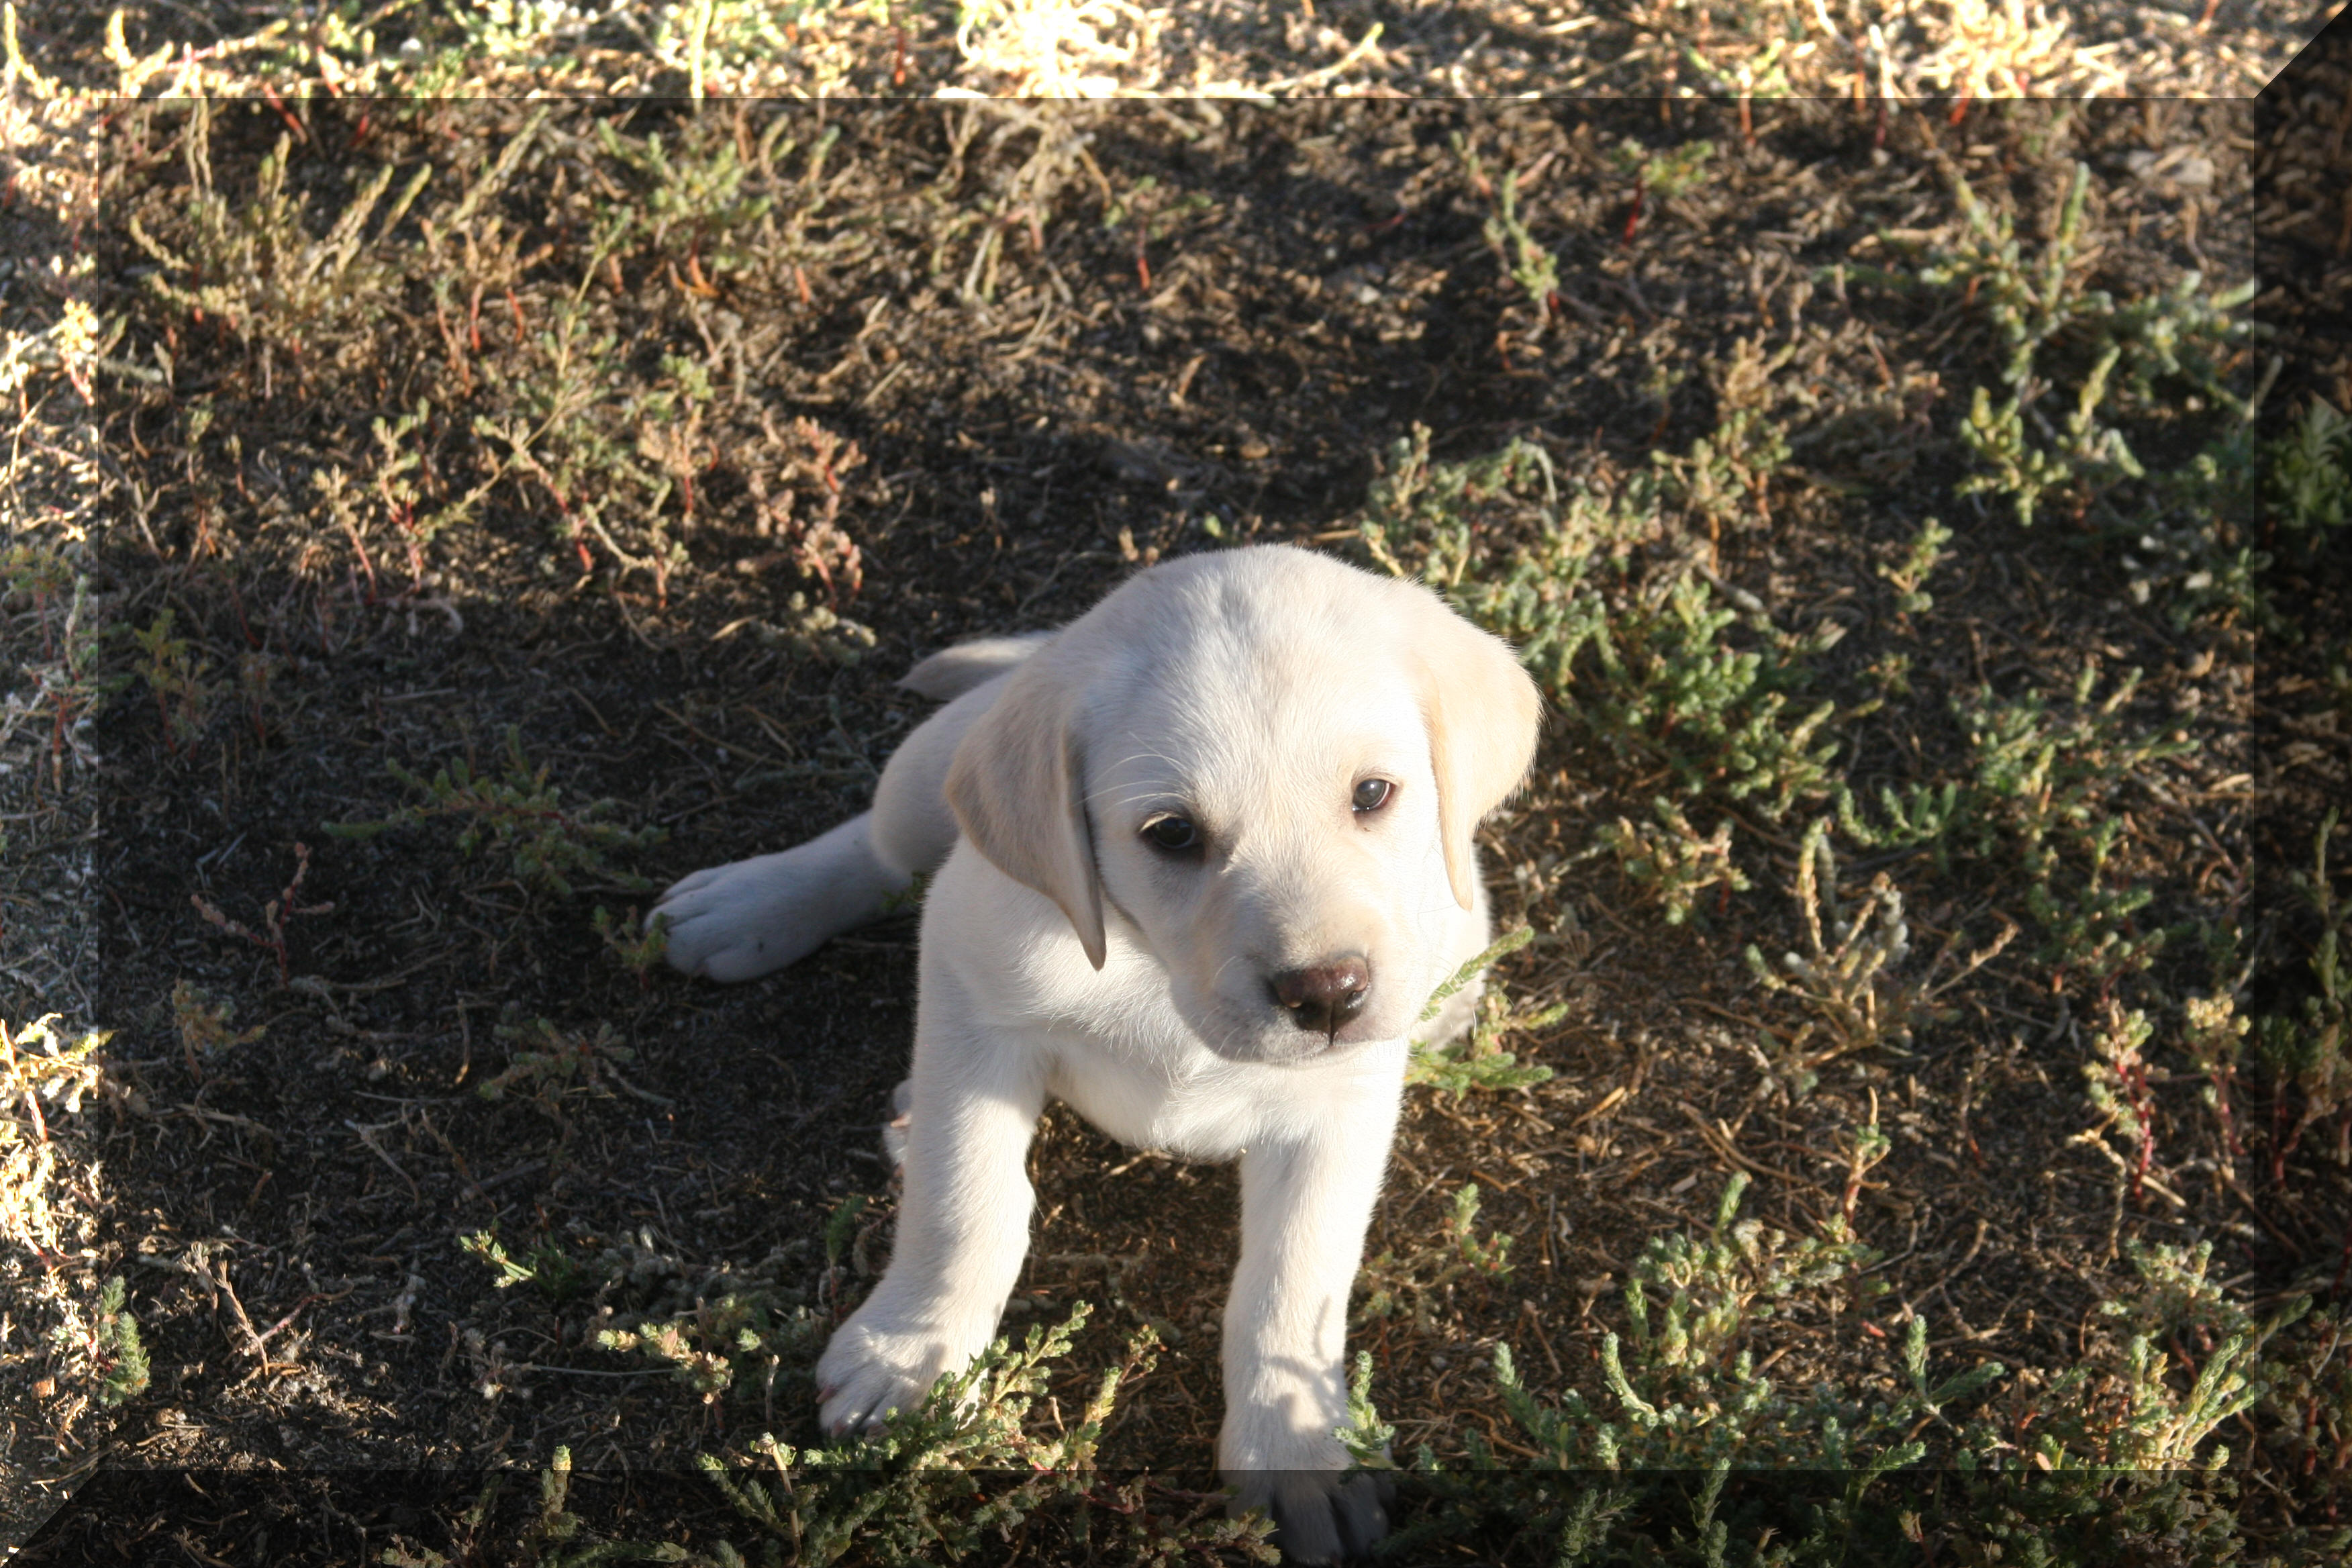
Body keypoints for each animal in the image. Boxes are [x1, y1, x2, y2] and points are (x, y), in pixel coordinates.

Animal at [654, 545, 1533, 1561]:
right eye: (1172, 834)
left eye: (1374, 794)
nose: (1328, 994)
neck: (1160, 976)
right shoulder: (971, 991)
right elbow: (967, 1203)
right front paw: (913, 1352)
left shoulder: (1339, 1109)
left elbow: (1291, 1281)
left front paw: (1296, 1451)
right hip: (923, 779)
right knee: (873, 850)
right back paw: (751, 904)